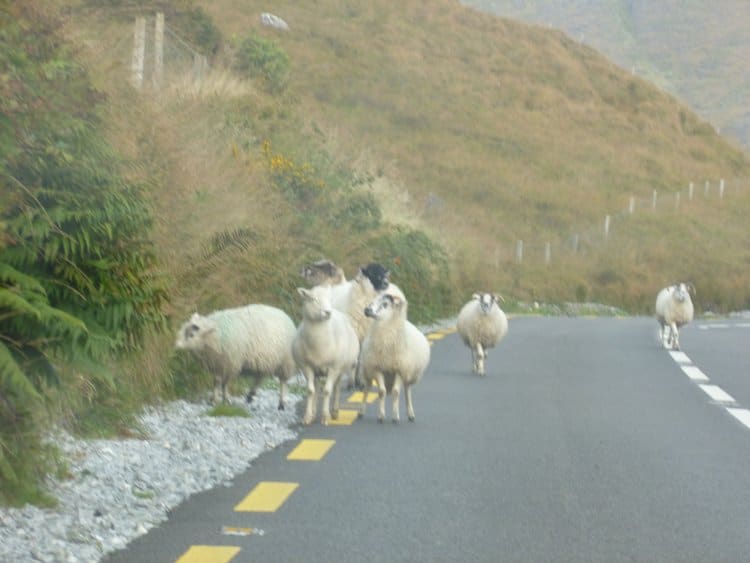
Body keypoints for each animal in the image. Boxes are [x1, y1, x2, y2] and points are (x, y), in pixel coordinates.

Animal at [292, 284, 362, 426]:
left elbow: (327, 391)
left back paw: (334, 411)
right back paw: (314, 412)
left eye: (330, 299)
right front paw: (307, 416)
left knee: (336, 388)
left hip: (340, 369)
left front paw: (325, 416)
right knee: (317, 388)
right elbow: (310, 391)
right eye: (313, 299)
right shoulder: (307, 367)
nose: (328, 312)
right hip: (317, 371)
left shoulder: (334, 368)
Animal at [360, 286, 432, 424]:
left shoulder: (400, 369)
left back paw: (411, 414)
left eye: (385, 304)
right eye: (374, 298)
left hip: (407, 373)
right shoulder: (377, 367)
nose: (366, 310)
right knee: (366, 388)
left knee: (407, 392)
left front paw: (395, 416)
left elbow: (395, 392)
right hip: (367, 370)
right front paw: (381, 416)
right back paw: (361, 412)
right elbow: (382, 391)